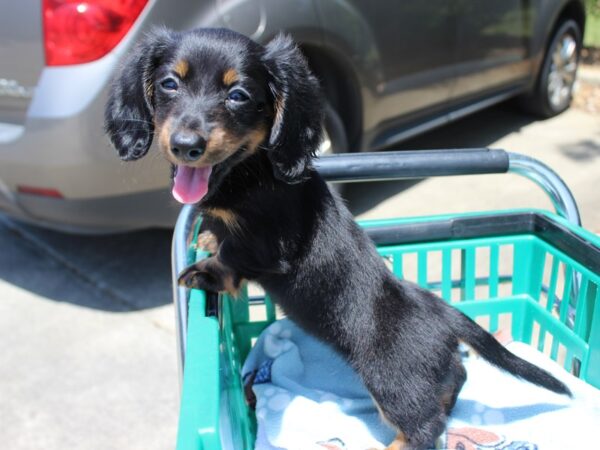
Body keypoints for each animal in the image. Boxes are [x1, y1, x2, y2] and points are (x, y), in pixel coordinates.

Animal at [104, 29, 572, 450]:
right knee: (453, 382)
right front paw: (205, 239)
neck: (248, 170)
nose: (186, 146)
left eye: (238, 95)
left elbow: (231, 259)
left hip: (391, 381)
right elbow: (217, 231)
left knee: (427, 428)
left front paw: (203, 270)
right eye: (169, 83)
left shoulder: (263, 245)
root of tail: (443, 312)